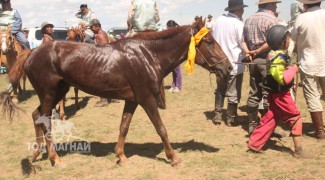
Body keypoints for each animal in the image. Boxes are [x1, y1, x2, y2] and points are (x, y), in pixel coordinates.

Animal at [1, 17, 230, 167]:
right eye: (209, 42)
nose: (227, 67)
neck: (148, 55)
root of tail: (32, 52)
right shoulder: (147, 99)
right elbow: (161, 128)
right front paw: (173, 157)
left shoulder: (132, 100)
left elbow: (123, 127)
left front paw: (120, 156)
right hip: (49, 94)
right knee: (45, 119)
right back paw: (54, 158)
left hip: (58, 91)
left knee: (37, 115)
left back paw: (37, 153)